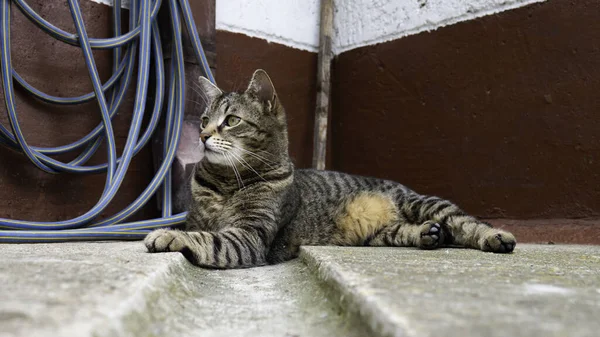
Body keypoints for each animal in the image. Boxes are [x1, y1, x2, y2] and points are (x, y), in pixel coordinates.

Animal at [144, 69, 516, 268]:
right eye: (204, 120)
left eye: (231, 121)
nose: (203, 135)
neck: (225, 183)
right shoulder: (205, 220)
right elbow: (201, 229)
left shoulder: (249, 236)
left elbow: (207, 238)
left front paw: (168, 234)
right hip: (382, 233)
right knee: (410, 231)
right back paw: (429, 234)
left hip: (425, 203)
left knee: (465, 222)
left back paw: (496, 237)